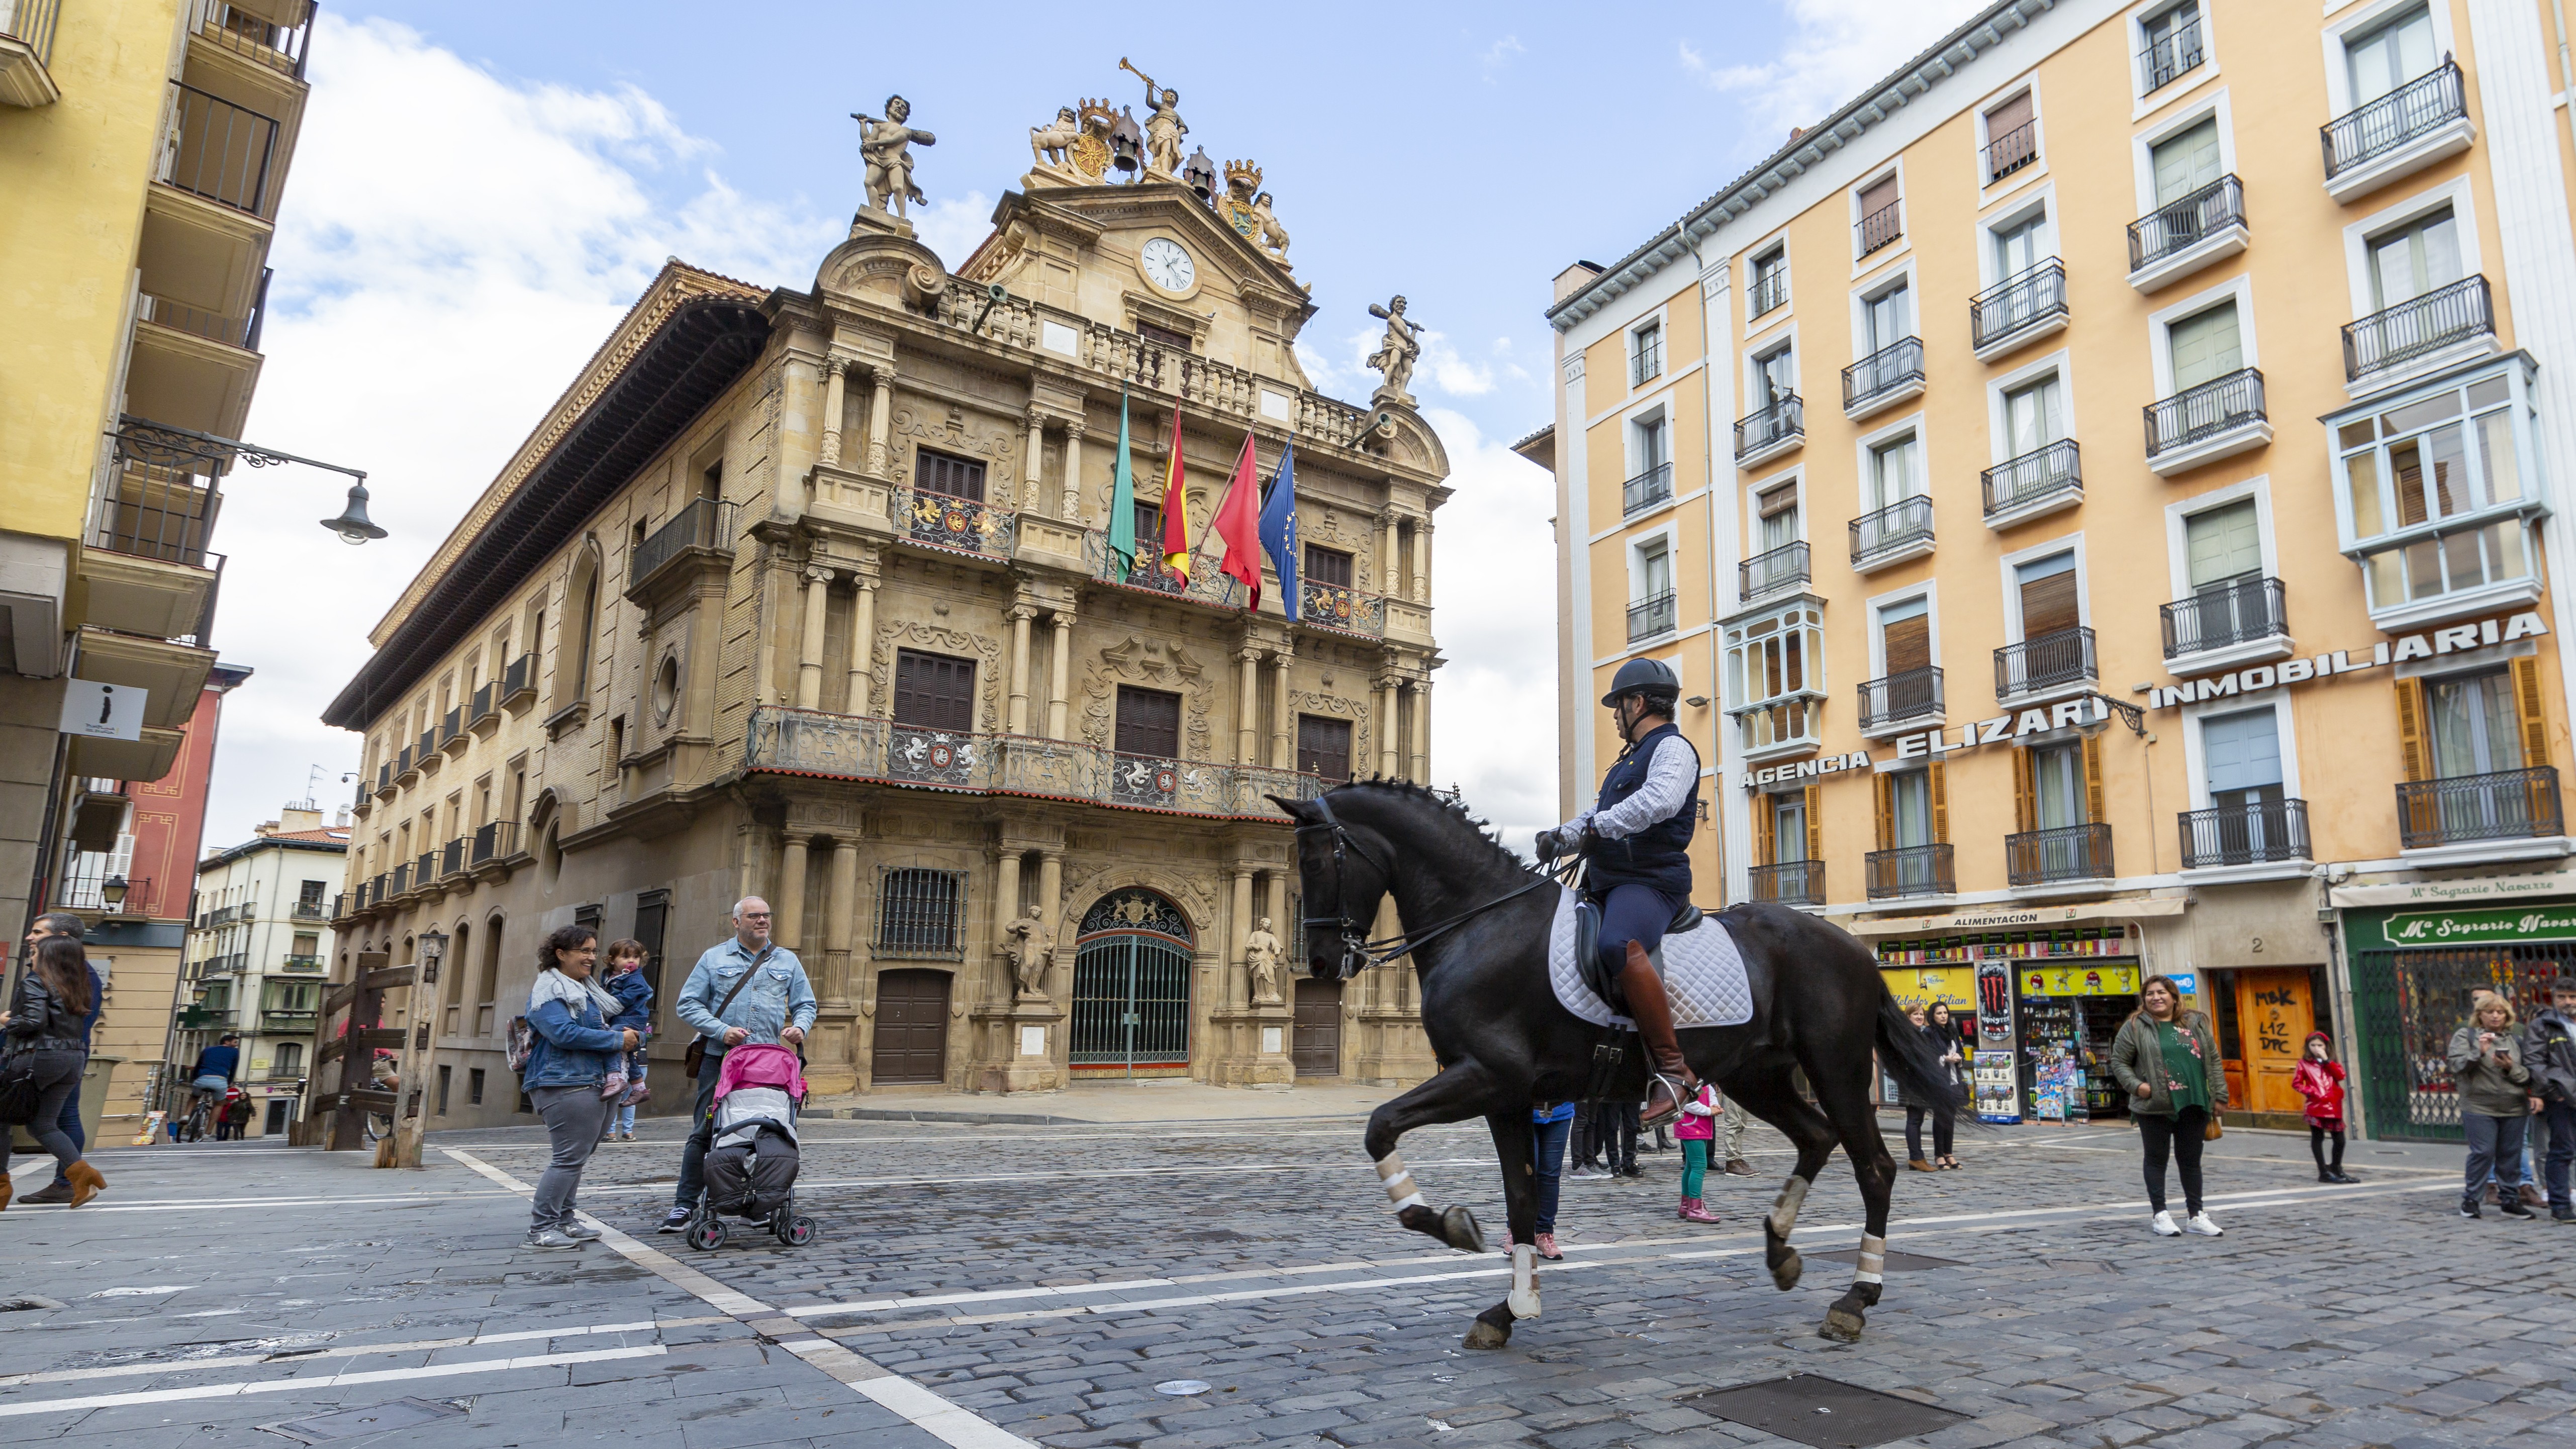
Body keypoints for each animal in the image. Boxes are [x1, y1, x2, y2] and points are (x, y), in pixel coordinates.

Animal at [1271, 781, 1961, 1349]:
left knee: (1873, 1167)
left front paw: (1447, 1225)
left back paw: (1856, 1298)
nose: (1325, 961)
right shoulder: (1506, 1099)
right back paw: (1780, 1252)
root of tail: (1855, 949)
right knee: (1816, 1138)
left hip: (1835, 1067)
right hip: (1756, 1076)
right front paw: (1510, 1307)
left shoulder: (1485, 1077)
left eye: (1316, 861)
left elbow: (1380, 1125)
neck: (1483, 923)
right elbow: (1522, 1198)